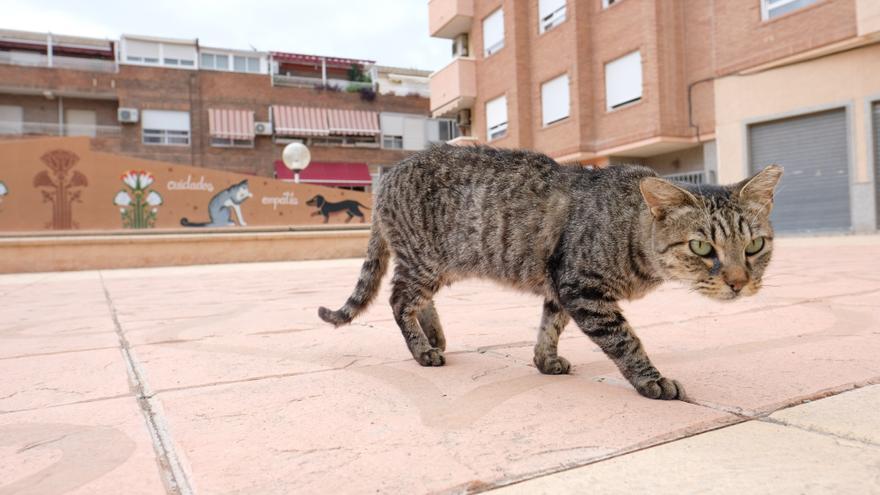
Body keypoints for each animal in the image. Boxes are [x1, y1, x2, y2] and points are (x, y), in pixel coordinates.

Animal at [318, 145, 784, 402]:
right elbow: (626, 341)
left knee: (417, 299)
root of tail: (387, 175)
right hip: (425, 260)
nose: (739, 282)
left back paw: (433, 336)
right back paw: (422, 350)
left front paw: (544, 360)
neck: (631, 232)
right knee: (399, 299)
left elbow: (550, 326)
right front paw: (652, 381)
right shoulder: (583, 289)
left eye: (755, 246)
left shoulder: (561, 287)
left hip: (437, 265)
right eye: (702, 247)